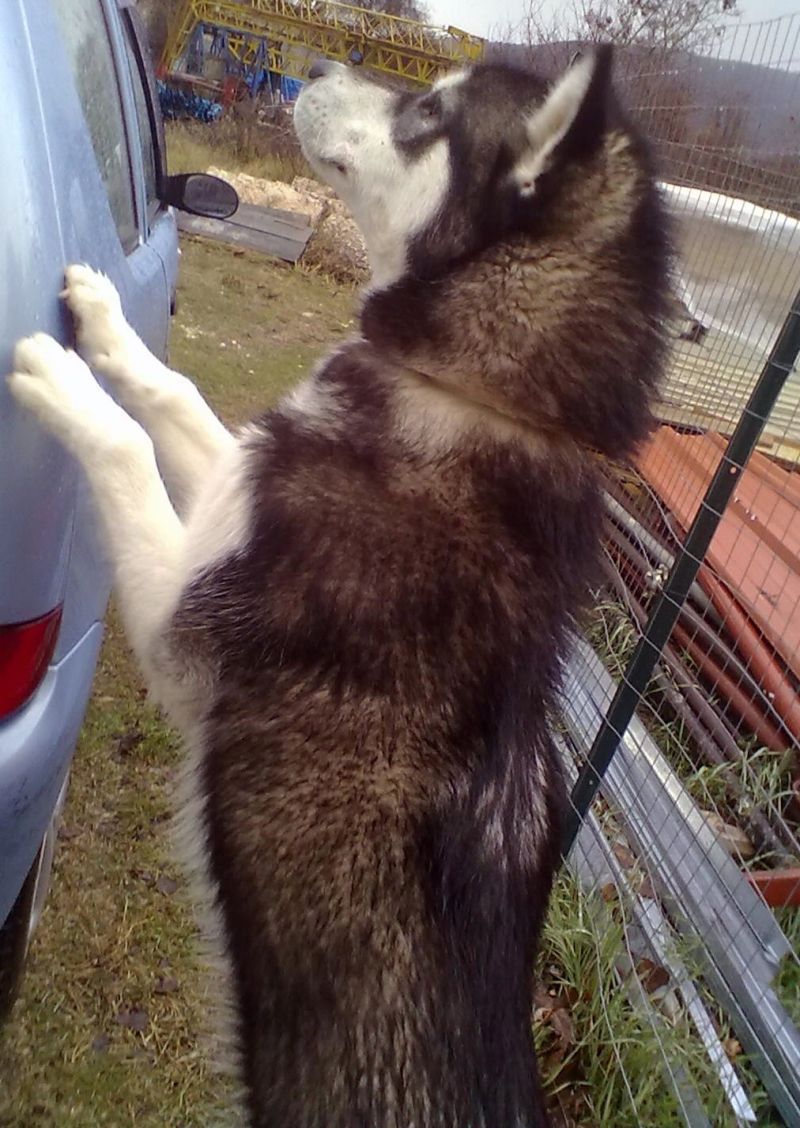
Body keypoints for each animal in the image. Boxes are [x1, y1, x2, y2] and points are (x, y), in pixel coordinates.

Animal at [7, 46, 667, 1128]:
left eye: (429, 112)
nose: (314, 62)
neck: (479, 398)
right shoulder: (237, 488)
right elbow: (176, 398)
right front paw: (102, 325)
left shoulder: (182, 630)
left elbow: (126, 449)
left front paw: (64, 378)